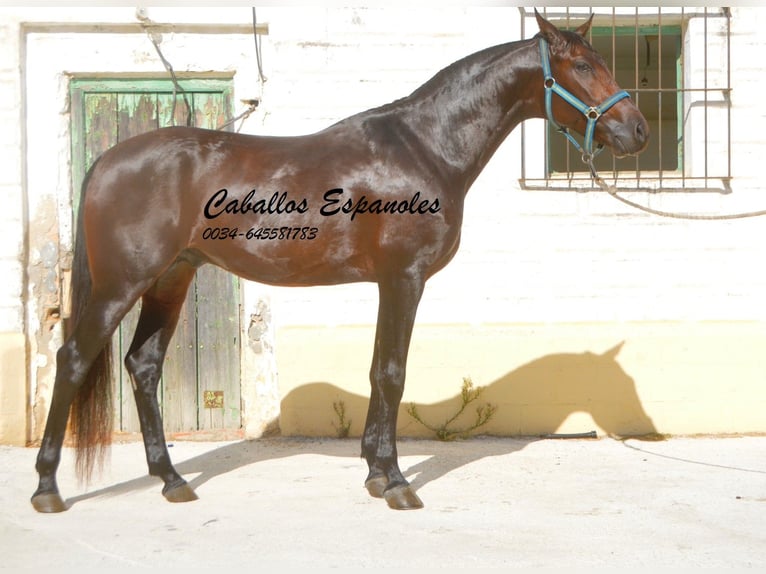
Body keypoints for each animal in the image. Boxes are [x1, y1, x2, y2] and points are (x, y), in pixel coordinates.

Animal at [33, 10, 652, 512]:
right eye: (580, 65)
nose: (638, 131)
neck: (424, 147)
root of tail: (109, 159)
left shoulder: (389, 282)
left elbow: (380, 371)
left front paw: (376, 474)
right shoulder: (404, 278)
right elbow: (393, 373)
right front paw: (397, 483)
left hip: (171, 278)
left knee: (143, 365)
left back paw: (172, 481)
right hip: (122, 284)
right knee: (73, 359)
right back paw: (47, 489)